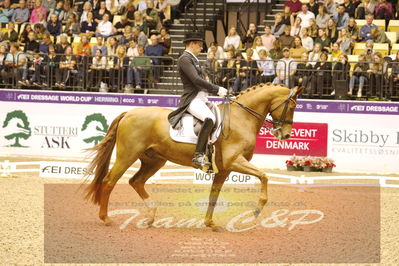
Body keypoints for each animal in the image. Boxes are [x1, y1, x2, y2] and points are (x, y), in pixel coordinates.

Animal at [84, 84, 304, 232]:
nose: (286, 135)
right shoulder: (235, 161)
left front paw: (210, 223)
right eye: (292, 106)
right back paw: (106, 218)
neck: (241, 118)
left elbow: (214, 196)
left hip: (154, 160)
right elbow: (264, 176)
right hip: (127, 155)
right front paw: (257, 209)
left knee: (135, 181)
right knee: (109, 181)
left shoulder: (225, 169)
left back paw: (150, 216)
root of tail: (129, 113)